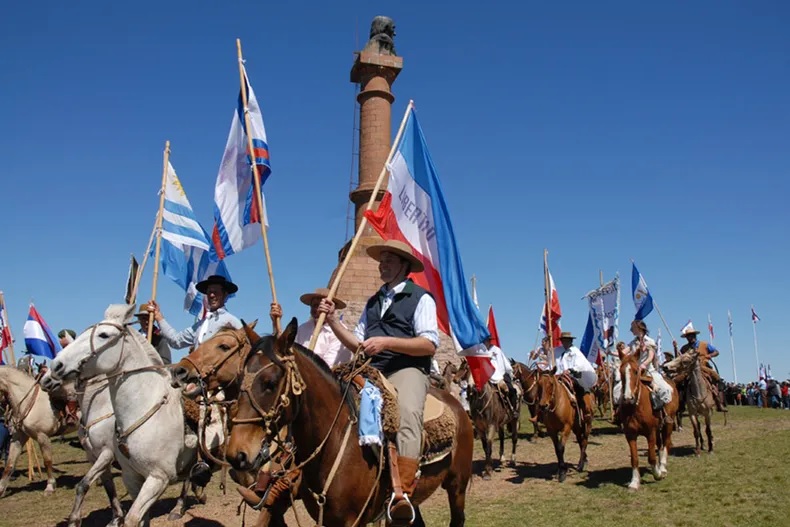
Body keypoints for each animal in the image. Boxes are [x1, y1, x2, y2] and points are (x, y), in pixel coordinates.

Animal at [0, 368, 78, 500]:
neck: (30, 401)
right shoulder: (18, 437)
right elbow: (10, 463)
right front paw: (1, 489)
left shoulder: (42, 436)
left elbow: (47, 461)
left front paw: (50, 486)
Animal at [41, 306, 201, 527]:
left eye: (103, 335)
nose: (54, 368)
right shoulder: (128, 476)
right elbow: (102, 488)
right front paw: (107, 517)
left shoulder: (156, 477)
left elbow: (131, 517)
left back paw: (178, 507)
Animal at [226, 320, 474, 527]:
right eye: (239, 381)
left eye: (270, 383)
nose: (237, 454)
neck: (334, 441)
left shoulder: (353, 520)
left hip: (457, 486)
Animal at [620, 350, 680, 490]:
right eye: (620, 371)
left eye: (636, 371)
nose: (628, 398)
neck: (636, 407)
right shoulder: (630, 435)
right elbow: (634, 459)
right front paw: (634, 482)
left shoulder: (650, 432)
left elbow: (652, 457)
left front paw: (657, 474)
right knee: (661, 445)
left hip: (668, 424)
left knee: (666, 444)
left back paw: (662, 468)